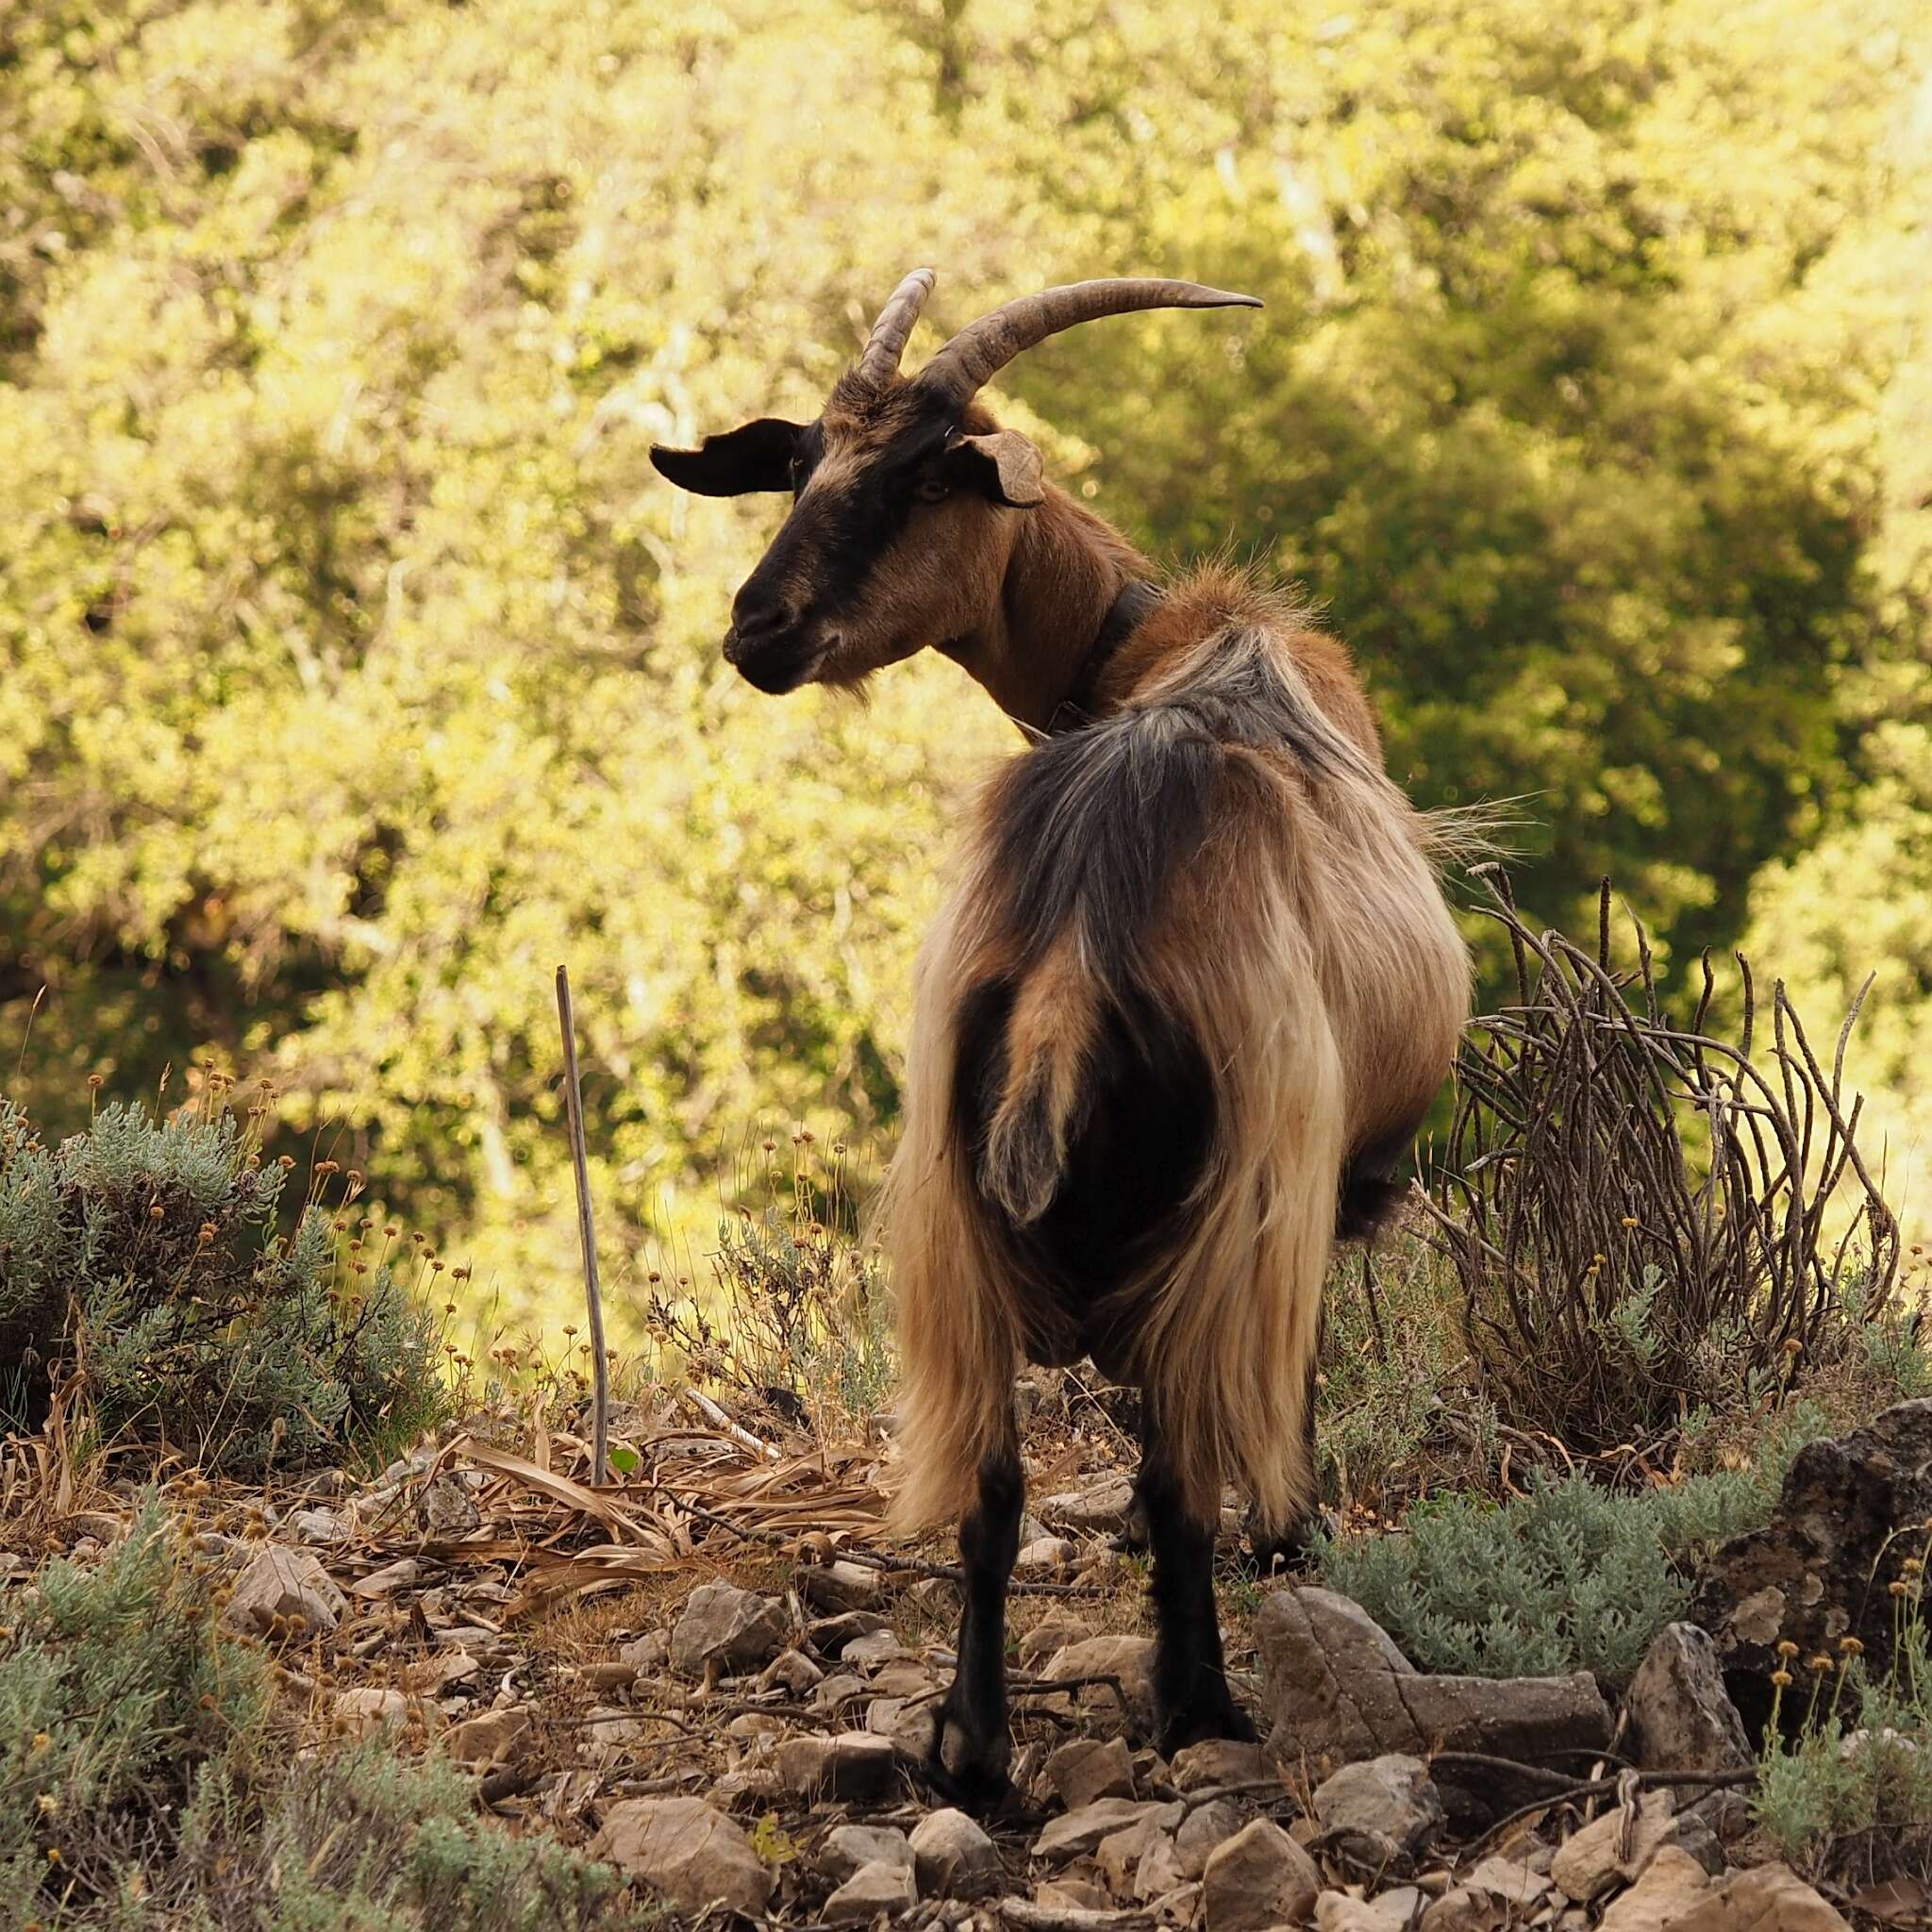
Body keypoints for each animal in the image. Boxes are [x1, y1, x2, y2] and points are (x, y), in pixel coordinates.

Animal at [657, 275, 1468, 1807]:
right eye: (803, 468)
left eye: (922, 478)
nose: (756, 629)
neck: (1150, 641)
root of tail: (1077, 945)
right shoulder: (1308, 1189)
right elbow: (1285, 1394)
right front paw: (1296, 1537)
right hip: (1213, 1211)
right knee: (1178, 1464)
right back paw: (1201, 1706)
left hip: (954, 1225)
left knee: (988, 1486)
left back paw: (975, 1751)